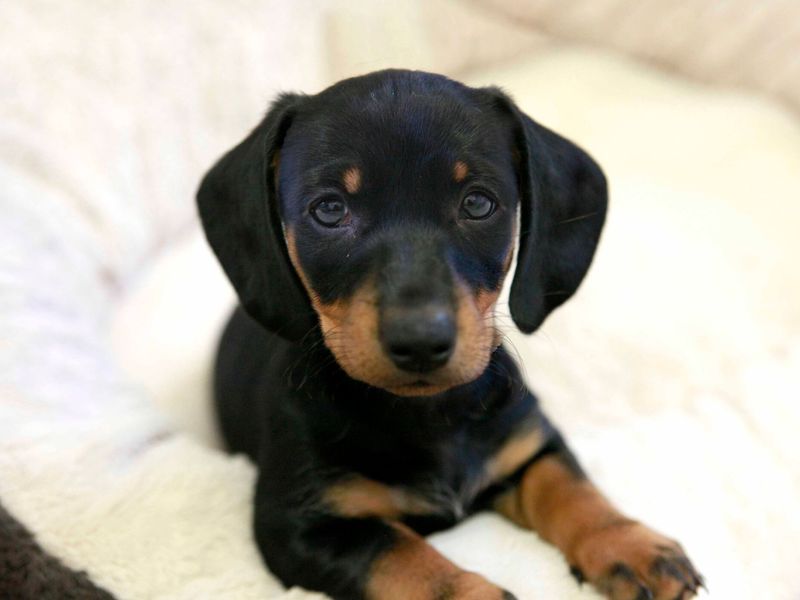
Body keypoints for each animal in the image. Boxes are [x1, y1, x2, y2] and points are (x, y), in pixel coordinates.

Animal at [197, 71, 704, 600]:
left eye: (477, 203)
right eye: (330, 209)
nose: (420, 341)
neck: (427, 413)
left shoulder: (526, 444)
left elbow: (569, 486)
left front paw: (631, 546)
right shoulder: (300, 525)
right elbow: (404, 558)